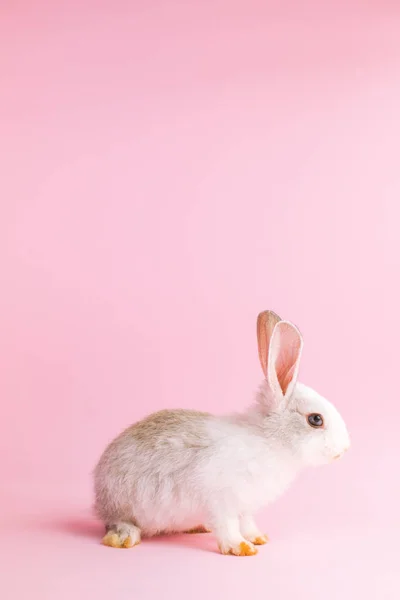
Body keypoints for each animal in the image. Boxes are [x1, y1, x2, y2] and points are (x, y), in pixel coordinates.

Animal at [94, 312, 350, 556]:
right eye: (315, 419)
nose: (345, 448)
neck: (269, 440)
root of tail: (98, 491)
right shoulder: (222, 500)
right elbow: (228, 526)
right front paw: (242, 548)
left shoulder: (246, 506)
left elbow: (247, 523)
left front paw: (258, 538)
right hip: (122, 504)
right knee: (116, 523)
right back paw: (124, 538)